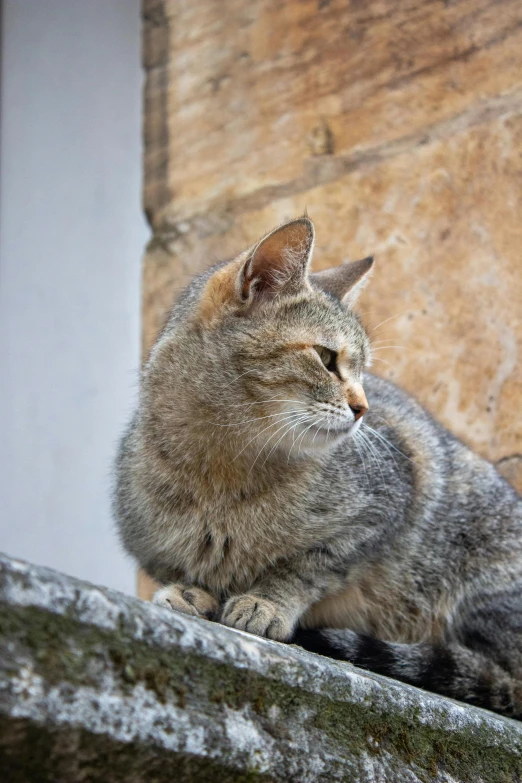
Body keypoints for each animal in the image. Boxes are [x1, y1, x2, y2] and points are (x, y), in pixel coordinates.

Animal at [114, 217, 520, 720]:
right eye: (327, 359)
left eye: (364, 371)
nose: (364, 408)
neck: (220, 471)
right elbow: (182, 565)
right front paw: (191, 590)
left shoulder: (383, 506)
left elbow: (309, 566)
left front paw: (266, 601)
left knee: (498, 677)